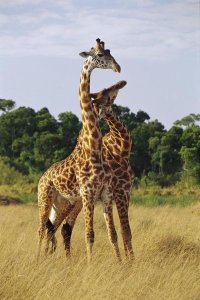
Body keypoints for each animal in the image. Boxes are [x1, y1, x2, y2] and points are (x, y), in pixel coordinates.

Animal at [38, 38, 122, 262]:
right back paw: (38, 259)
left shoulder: (105, 193)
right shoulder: (88, 193)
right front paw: (90, 265)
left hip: (64, 204)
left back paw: (52, 258)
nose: (117, 67)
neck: (93, 147)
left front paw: (122, 264)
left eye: (110, 51)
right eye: (100, 55)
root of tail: (42, 178)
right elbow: (89, 234)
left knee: (54, 229)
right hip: (45, 199)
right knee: (41, 229)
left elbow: (112, 234)